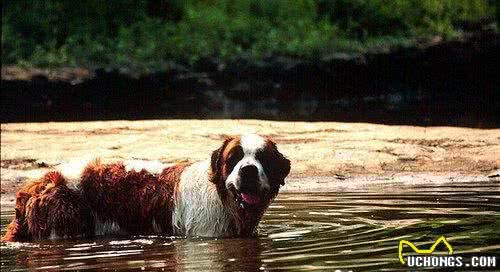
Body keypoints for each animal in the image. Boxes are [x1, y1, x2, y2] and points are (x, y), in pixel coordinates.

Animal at [1, 133, 292, 241]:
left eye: (262, 158)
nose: (248, 170)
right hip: (63, 224)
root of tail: (34, 185)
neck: (223, 196)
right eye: (234, 159)